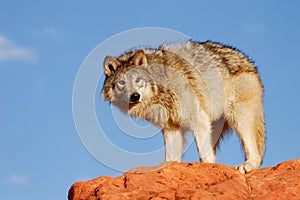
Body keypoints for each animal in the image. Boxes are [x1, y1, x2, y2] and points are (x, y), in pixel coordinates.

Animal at [102, 40, 266, 173]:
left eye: (138, 80)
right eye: (122, 82)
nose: (135, 96)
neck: (163, 86)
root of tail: (248, 62)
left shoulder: (198, 119)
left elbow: (204, 155)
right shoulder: (171, 127)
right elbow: (171, 157)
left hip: (238, 118)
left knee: (255, 152)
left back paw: (248, 165)